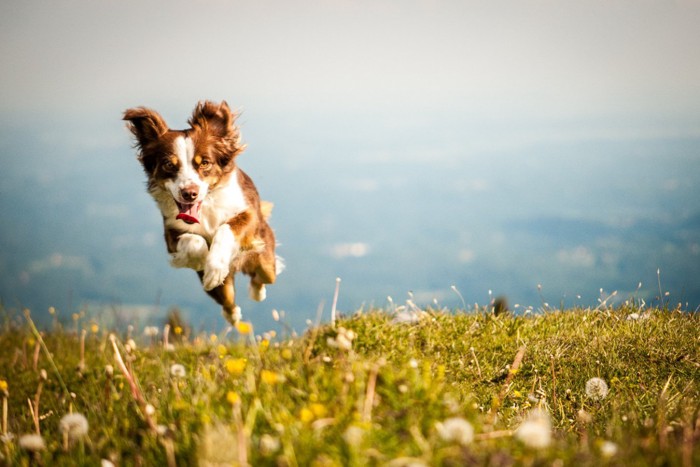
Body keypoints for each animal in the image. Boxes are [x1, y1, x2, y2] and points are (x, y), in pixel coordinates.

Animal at [123, 100, 278, 324]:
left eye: (204, 162)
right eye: (169, 164)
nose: (189, 193)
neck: (206, 207)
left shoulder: (249, 213)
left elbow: (226, 228)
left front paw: (215, 265)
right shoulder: (171, 231)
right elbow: (193, 241)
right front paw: (204, 260)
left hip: (265, 256)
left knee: (263, 276)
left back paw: (257, 292)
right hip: (220, 288)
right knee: (228, 300)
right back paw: (233, 315)